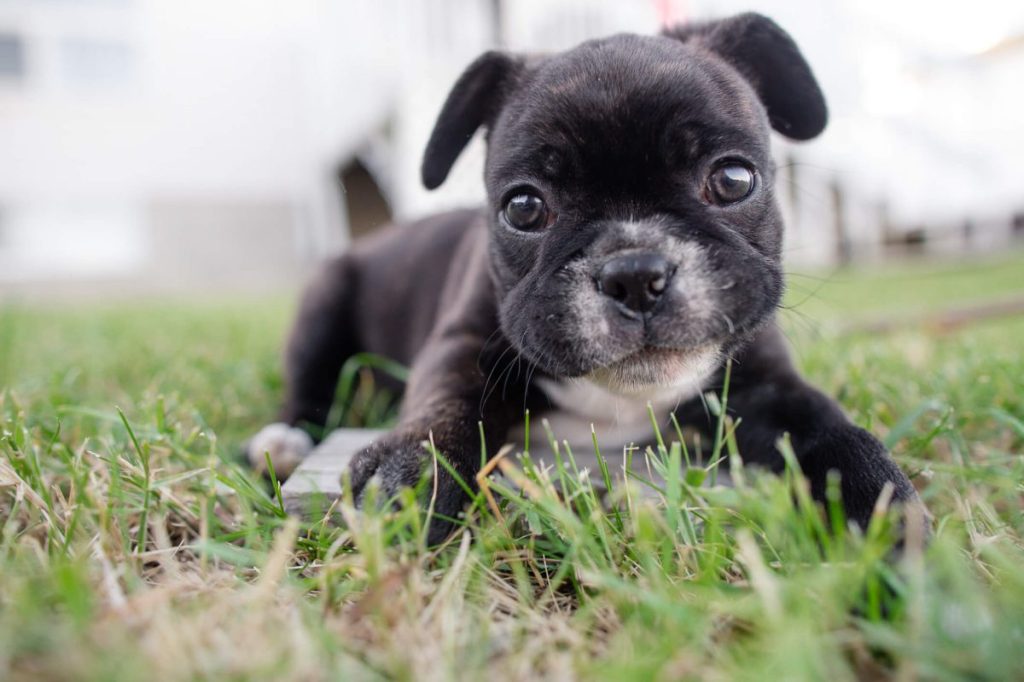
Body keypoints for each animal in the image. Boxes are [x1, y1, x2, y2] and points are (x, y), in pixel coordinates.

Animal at [245, 11, 921, 540]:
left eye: (734, 179)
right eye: (524, 208)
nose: (635, 272)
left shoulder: (765, 383)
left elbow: (828, 431)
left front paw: (884, 512)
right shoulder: (461, 343)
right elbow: (445, 403)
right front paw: (411, 473)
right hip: (324, 302)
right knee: (307, 386)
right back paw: (283, 439)